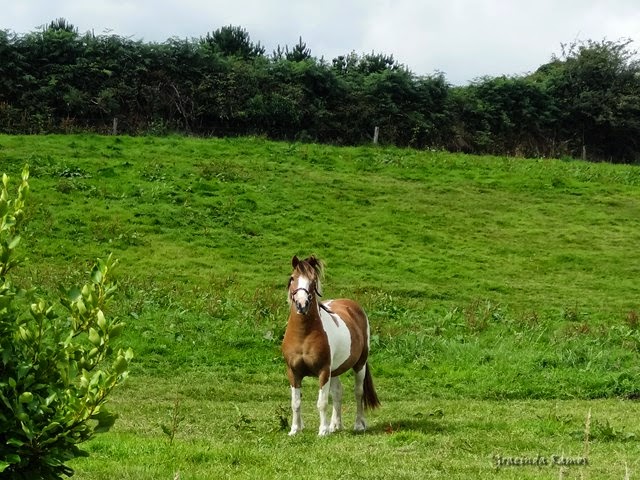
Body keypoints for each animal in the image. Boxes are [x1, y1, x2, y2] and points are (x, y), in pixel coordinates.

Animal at [282, 255, 380, 436]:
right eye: (292, 278)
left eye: (313, 281)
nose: (301, 304)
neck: (303, 336)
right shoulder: (293, 373)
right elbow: (296, 403)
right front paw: (295, 430)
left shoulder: (323, 371)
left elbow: (322, 402)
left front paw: (322, 431)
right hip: (335, 370)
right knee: (337, 393)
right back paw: (336, 425)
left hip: (359, 365)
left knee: (358, 392)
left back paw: (358, 424)